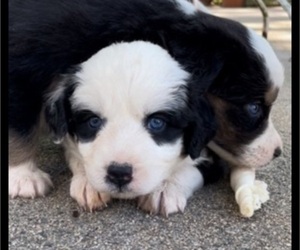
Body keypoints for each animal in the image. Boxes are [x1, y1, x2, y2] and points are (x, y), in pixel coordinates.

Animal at [9, 0, 284, 217]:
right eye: (253, 108)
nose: (278, 152)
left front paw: (165, 189)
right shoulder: (24, 68)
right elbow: (20, 128)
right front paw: (24, 176)